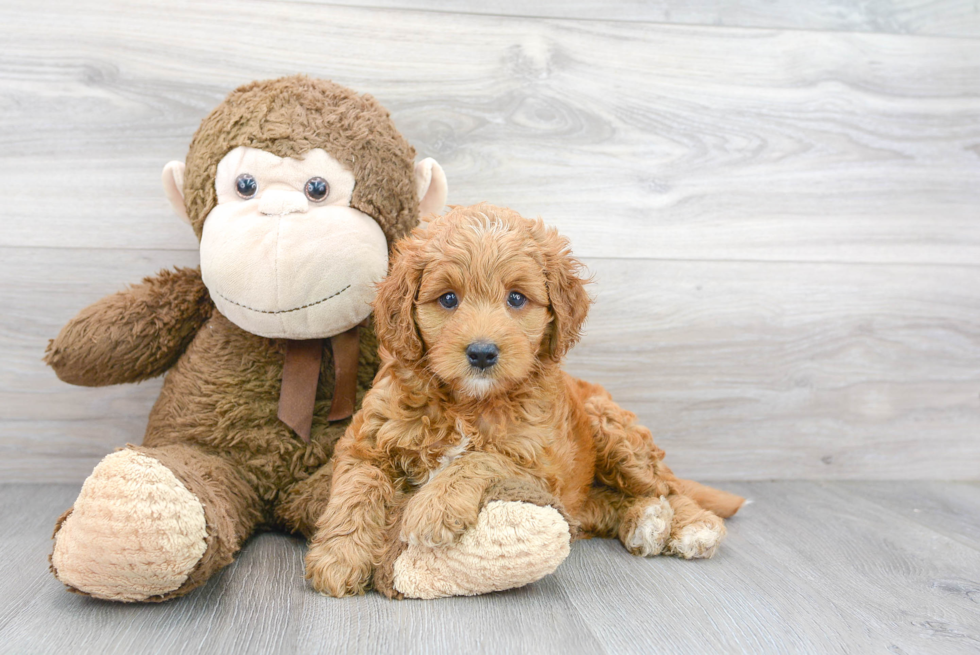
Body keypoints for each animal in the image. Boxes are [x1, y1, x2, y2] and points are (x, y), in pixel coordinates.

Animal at [306, 202, 744, 596]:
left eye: (516, 299)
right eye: (448, 299)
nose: (482, 353)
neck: (467, 404)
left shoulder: (539, 461)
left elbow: (479, 458)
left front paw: (435, 506)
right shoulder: (367, 441)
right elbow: (355, 491)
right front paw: (338, 559)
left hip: (614, 431)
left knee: (668, 488)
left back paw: (690, 526)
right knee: (607, 505)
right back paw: (645, 521)